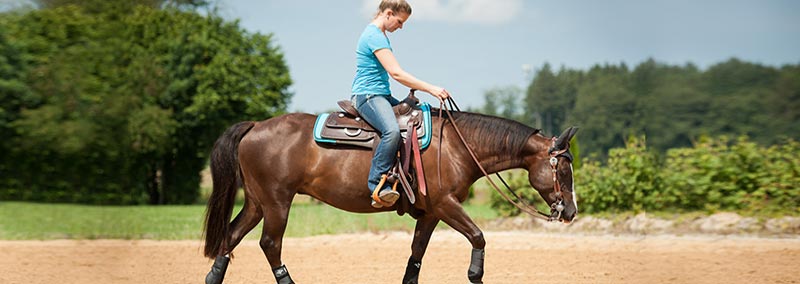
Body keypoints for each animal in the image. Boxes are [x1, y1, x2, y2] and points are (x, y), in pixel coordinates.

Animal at [199, 106, 576, 284]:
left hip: (256, 202)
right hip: (277, 201)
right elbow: (478, 237)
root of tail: (255, 126)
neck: (456, 146)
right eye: (562, 170)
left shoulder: (431, 213)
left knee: (231, 236)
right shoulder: (446, 204)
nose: (571, 212)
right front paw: (474, 273)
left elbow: (416, 255)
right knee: (270, 244)